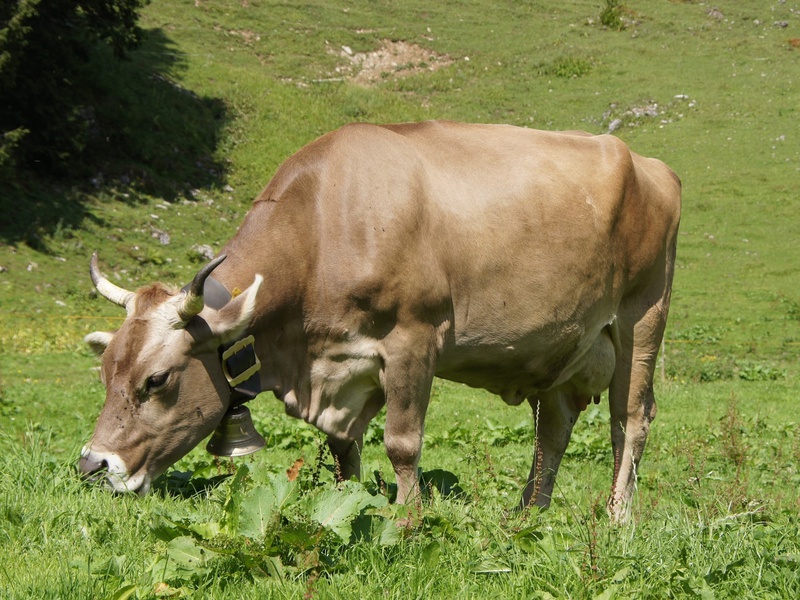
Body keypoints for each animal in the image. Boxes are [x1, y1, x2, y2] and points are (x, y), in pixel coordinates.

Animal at [78, 120, 680, 520]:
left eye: (157, 380)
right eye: (105, 373)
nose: (92, 465)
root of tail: (651, 165)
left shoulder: (413, 340)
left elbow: (401, 444)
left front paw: (410, 522)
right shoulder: (342, 364)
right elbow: (344, 450)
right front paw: (346, 503)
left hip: (642, 318)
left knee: (630, 419)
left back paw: (617, 516)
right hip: (563, 347)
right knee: (553, 428)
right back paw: (528, 513)